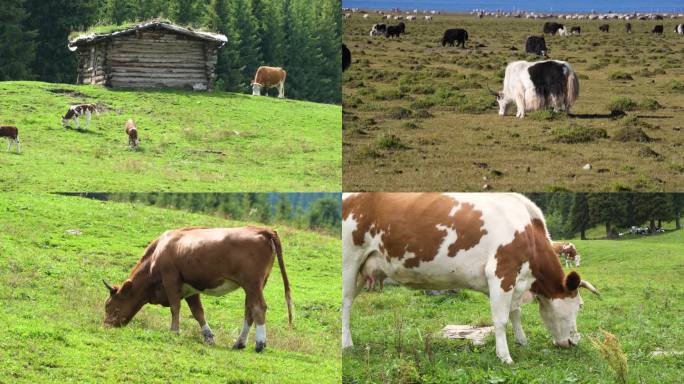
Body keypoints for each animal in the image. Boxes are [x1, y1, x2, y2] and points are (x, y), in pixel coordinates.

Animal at [103, 226, 292, 352]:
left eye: (109, 306)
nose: (105, 325)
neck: (157, 253)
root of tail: (263, 229)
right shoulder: (190, 289)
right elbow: (198, 312)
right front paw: (208, 337)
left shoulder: (171, 279)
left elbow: (175, 307)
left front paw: (174, 331)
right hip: (255, 286)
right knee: (249, 310)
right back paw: (239, 342)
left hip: (252, 283)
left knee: (258, 308)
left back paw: (260, 344)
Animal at [342, 194, 600, 364]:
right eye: (579, 305)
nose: (573, 342)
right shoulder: (501, 272)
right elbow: (501, 320)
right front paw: (505, 357)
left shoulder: (515, 280)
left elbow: (515, 313)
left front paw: (522, 341)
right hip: (350, 261)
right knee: (345, 304)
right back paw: (347, 344)